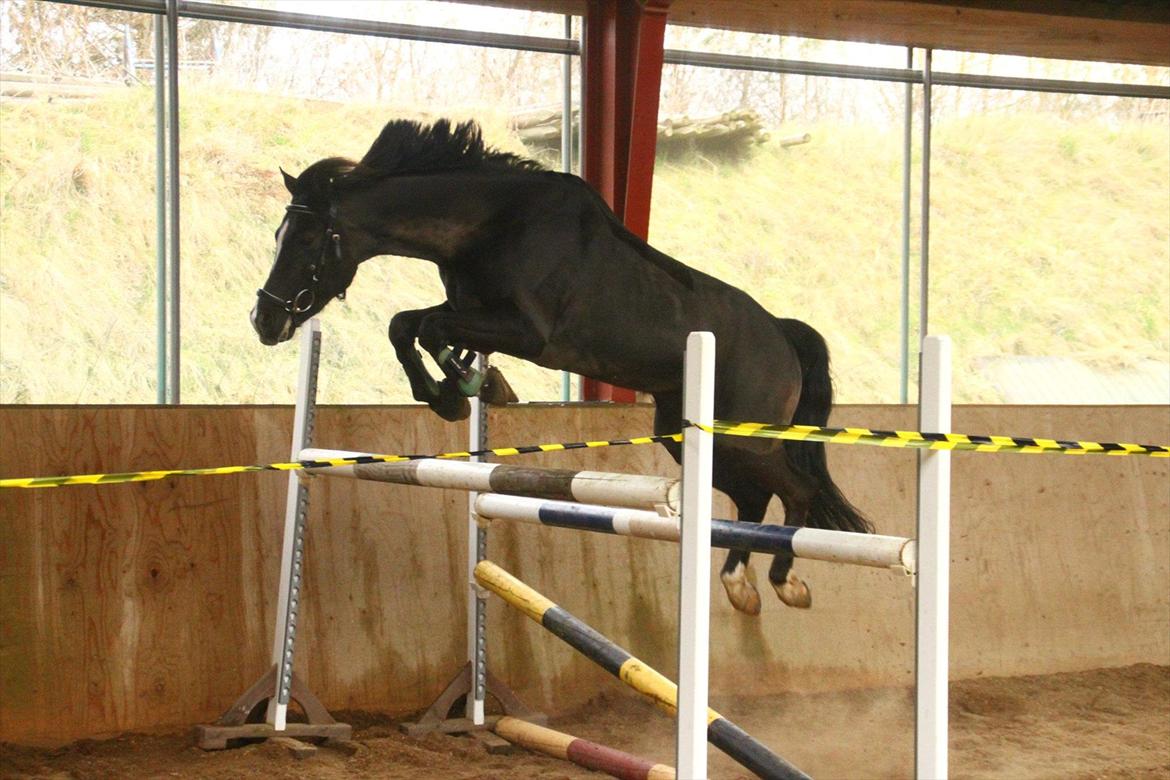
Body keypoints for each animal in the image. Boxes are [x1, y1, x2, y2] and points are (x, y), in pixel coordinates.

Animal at [251, 119, 870, 612]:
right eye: (279, 233)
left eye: (307, 237)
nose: (265, 319)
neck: (489, 224)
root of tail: (782, 335)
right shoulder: (469, 311)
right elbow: (407, 326)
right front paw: (462, 390)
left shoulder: (530, 333)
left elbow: (425, 328)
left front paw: (465, 388)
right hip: (684, 432)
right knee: (751, 499)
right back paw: (740, 583)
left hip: (744, 435)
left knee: (794, 490)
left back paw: (782, 583)